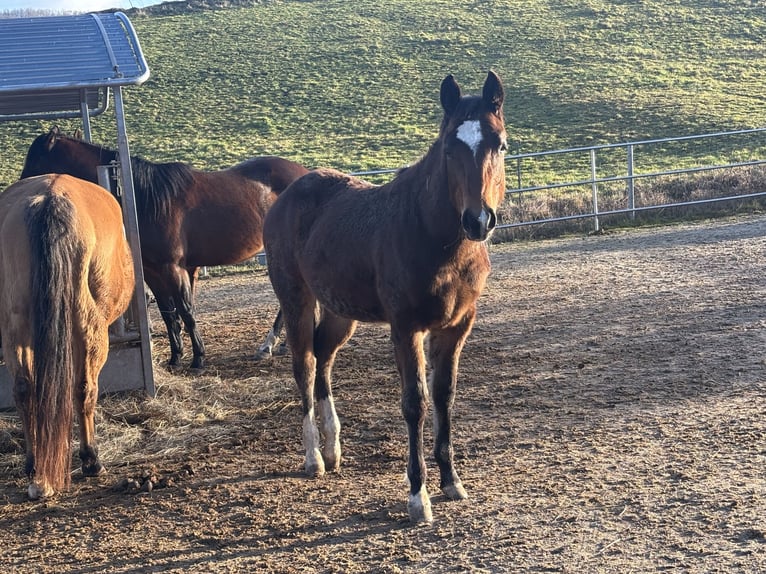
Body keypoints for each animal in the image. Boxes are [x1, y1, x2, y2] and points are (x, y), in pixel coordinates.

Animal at [0, 174, 135, 500]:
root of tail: (50, 199)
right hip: (89, 330)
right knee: (84, 387)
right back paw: (91, 460)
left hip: (15, 329)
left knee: (24, 390)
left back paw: (34, 465)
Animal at [20, 127, 309, 368]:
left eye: (35, 160)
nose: (22, 192)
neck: (144, 199)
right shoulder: (153, 273)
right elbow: (169, 314)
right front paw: (175, 357)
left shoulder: (173, 269)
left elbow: (186, 311)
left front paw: (198, 359)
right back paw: (278, 344)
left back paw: (270, 344)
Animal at [263, 71, 507, 523]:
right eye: (449, 148)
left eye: (499, 144)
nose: (478, 220)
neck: (433, 236)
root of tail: (287, 195)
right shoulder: (406, 327)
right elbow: (415, 403)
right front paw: (418, 496)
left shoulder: (456, 326)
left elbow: (444, 396)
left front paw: (452, 481)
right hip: (295, 299)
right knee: (305, 365)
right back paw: (314, 458)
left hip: (341, 311)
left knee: (324, 358)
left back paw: (334, 448)